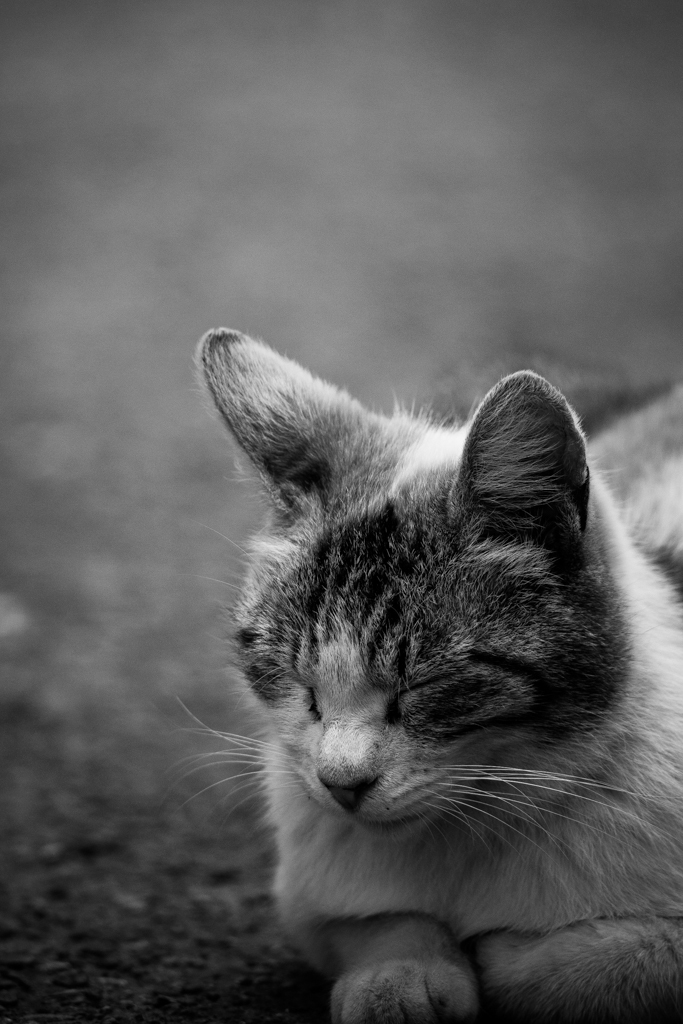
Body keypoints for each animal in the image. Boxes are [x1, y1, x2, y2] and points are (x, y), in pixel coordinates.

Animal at [196, 329, 683, 1024]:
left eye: (424, 685)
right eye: (298, 680)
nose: (340, 784)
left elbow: (628, 959)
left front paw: (508, 956)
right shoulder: (309, 885)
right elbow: (374, 918)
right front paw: (398, 978)